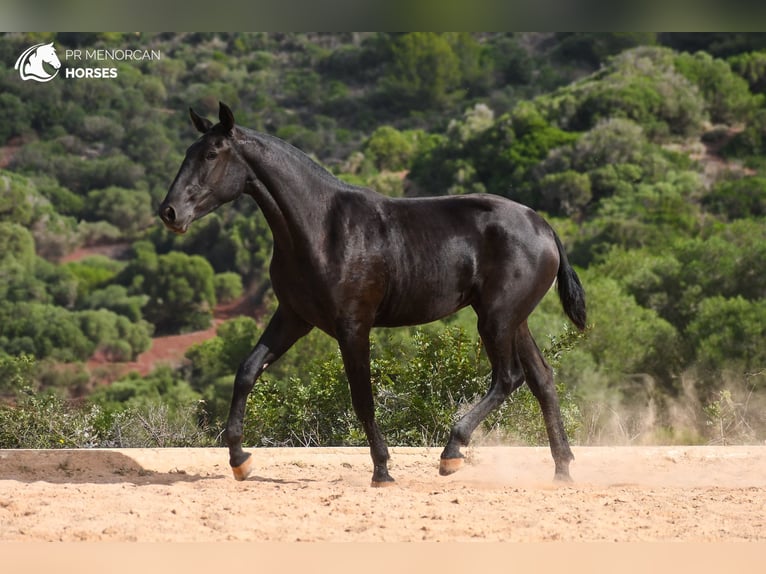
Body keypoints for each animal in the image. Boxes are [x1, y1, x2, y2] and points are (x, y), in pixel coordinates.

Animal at [158, 102, 588, 486]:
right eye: (188, 152)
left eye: (211, 154)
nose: (169, 212)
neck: (322, 228)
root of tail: (544, 227)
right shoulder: (293, 317)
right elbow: (247, 372)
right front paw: (239, 460)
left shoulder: (352, 326)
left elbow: (362, 398)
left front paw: (382, 470)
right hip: (513, 320)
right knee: (541, 380)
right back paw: (562, 470)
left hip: (496, 320)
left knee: (508, 378)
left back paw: (452, 452)